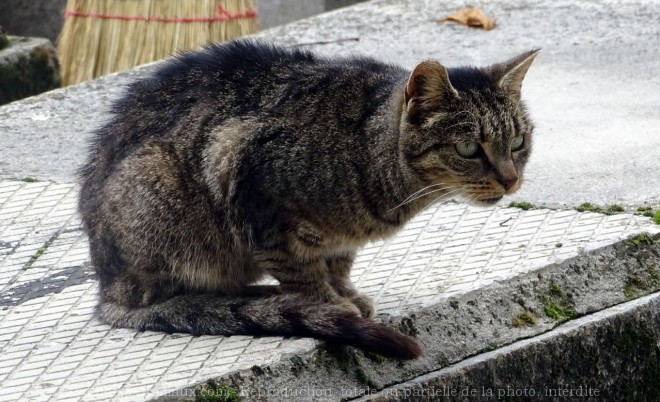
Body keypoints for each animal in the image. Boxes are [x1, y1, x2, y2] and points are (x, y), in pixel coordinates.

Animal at [80, 40, 540, 362]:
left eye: (518, 142)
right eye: (468, 148)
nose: (511, 179)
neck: (365, 150)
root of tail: (107, 288)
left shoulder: (340, 242)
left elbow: (339, 264)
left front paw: (347, 295)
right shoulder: (254, 190)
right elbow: (304, 275)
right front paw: (330, 304)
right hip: (162, 189)